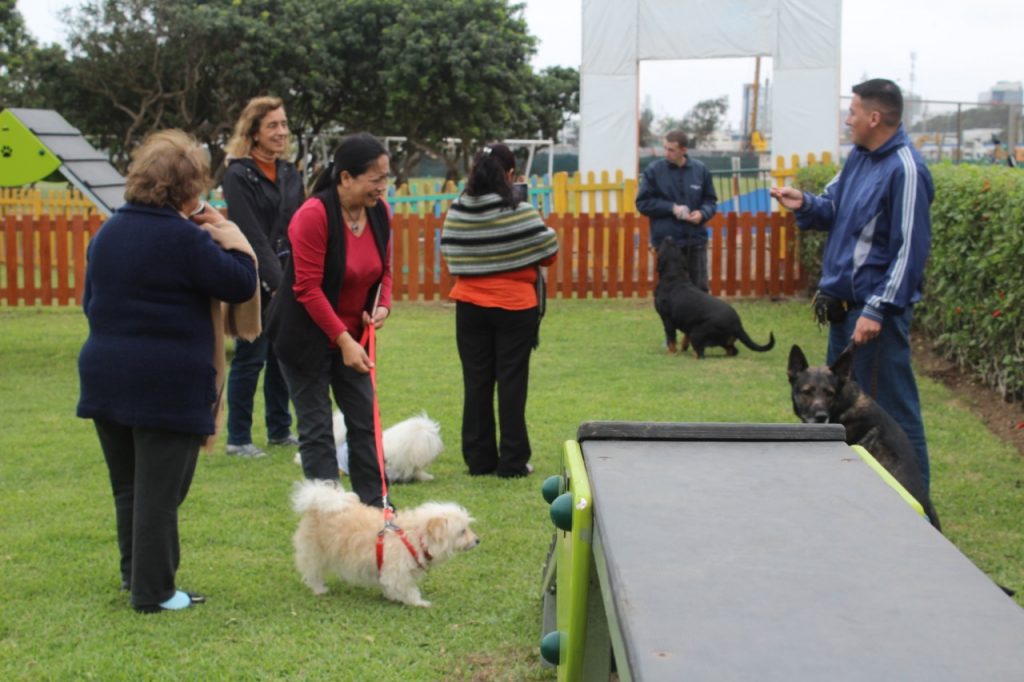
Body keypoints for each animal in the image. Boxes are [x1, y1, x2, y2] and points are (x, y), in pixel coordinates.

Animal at [290, 477, 477, 606]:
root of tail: (318, 502)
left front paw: (392, 596)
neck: (417, 536)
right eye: (462, 531)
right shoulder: (397, 570)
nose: (478, 540)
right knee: (313, 572)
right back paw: (319, 589)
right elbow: (408, 589)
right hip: (315, 553)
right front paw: (419, 603)